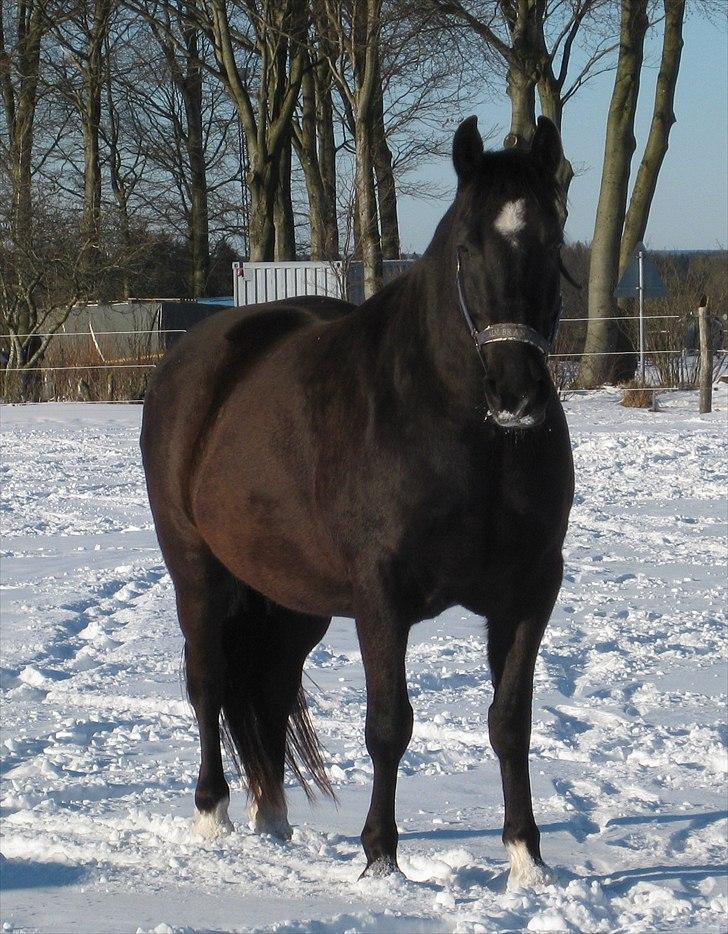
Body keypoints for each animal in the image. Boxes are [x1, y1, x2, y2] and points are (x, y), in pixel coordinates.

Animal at [142, 113, 576, 888]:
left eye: (552, 242)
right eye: (467, 245)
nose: (516, 393)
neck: (469, 438)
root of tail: (192, 357)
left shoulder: (530, 592)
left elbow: (510, 721)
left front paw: (526, 860)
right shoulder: (382, 597)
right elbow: (389, 725)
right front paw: (381, 857)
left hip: (291, 597)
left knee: (270, 685)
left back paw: (273, 818)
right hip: (197, 572)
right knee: (209, 682)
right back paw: (213, 815)